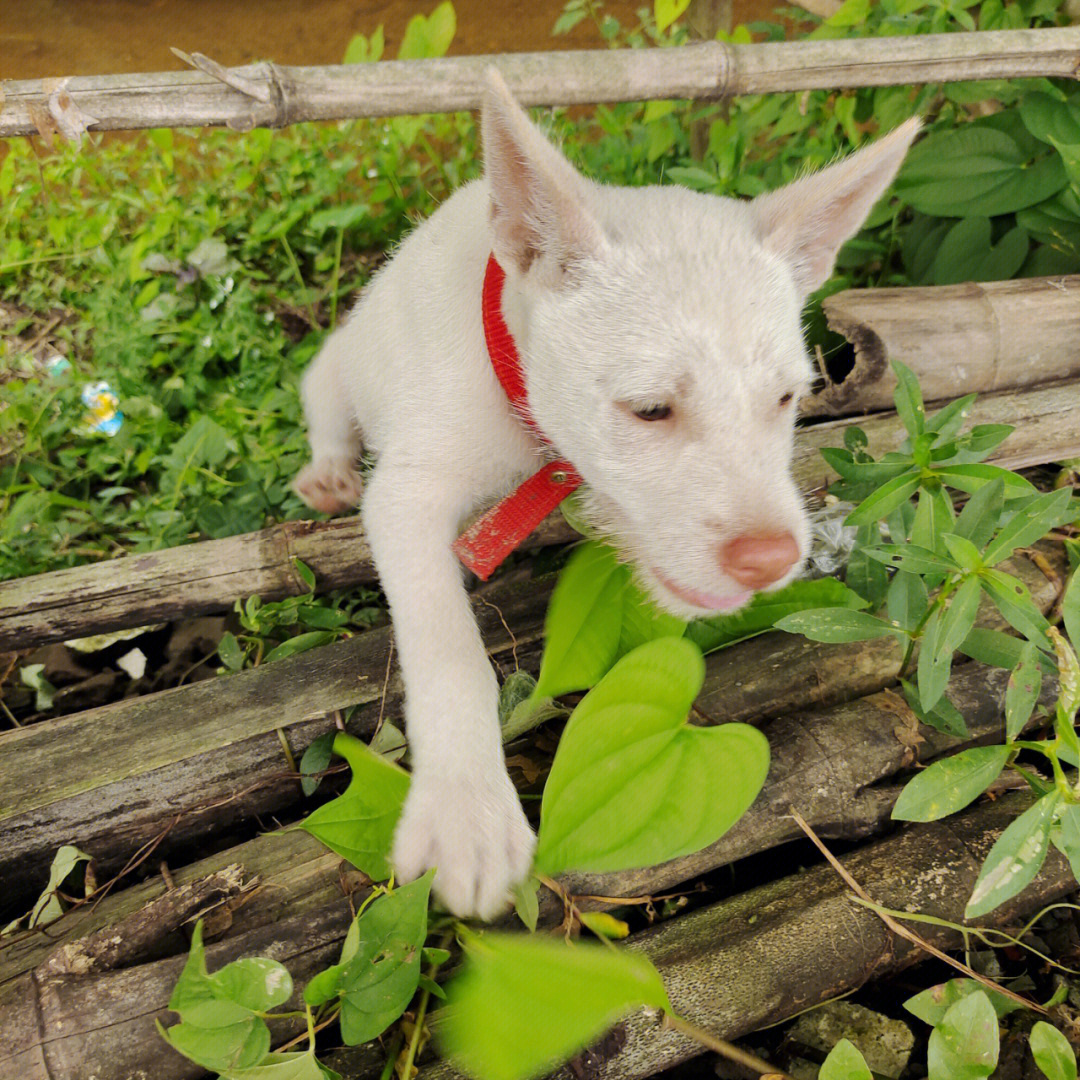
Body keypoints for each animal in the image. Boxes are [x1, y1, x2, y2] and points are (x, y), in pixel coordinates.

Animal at [295, 73, 920, 920]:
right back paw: (327, 472)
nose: (770, 559)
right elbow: (449, 647)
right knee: (323, 400)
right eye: (649, 410)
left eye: (788, 400)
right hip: (341, 365)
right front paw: (466, 811)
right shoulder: (407, 492)